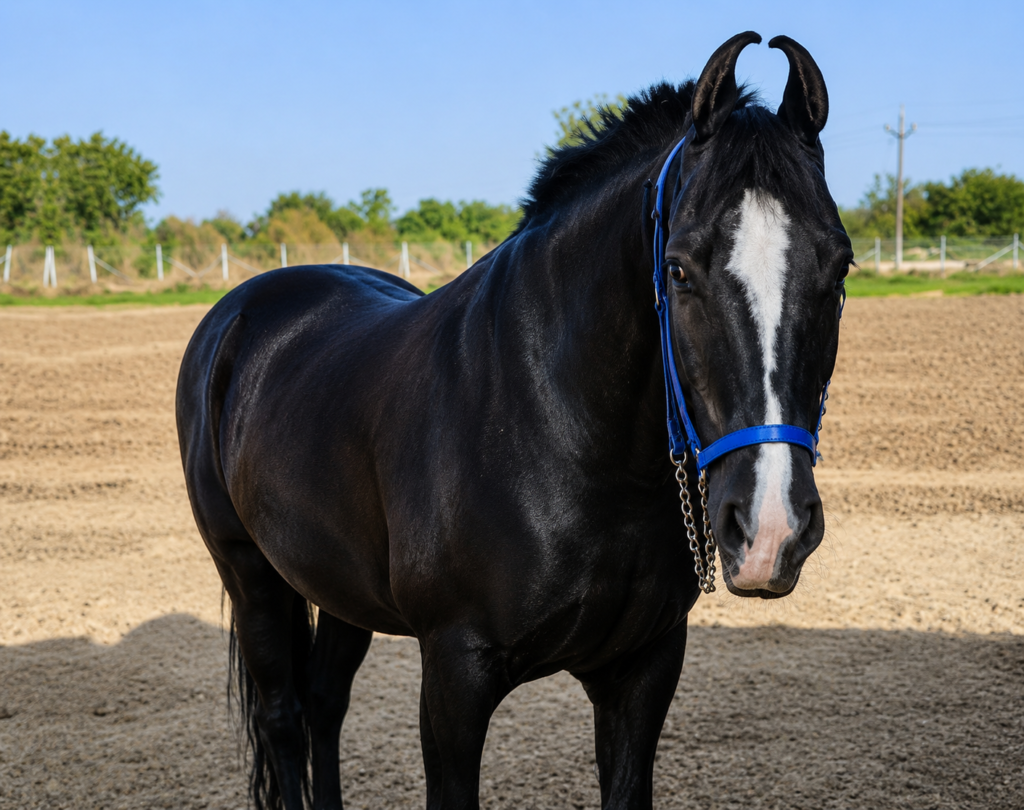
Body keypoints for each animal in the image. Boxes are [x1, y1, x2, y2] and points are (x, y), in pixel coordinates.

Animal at [176, 31, 849, 810]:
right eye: (679, 268)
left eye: (840, 268)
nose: (771, 529)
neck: (559, 434)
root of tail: (240, 312)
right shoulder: (454, 681)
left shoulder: (642, 672)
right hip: (249, 572)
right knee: (284, 716)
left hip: (336, 585)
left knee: (322, 705)